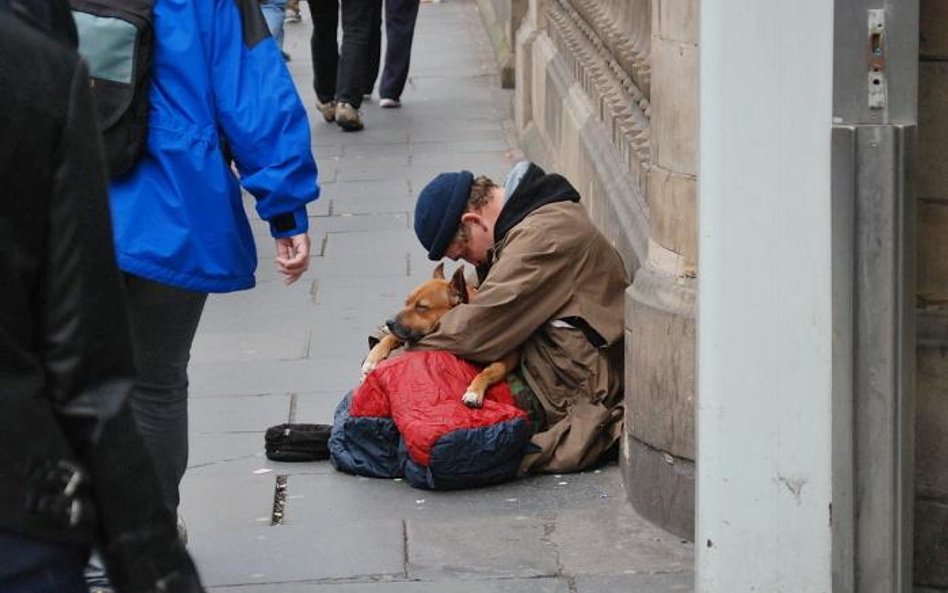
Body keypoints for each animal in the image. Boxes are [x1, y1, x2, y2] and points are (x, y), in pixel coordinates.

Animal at [360, 264, 520, 408]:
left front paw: (474, 392)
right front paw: (372, 359)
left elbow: (487, 372)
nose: (389, 321)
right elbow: (390, 338)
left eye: (422, 307)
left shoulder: (507, 361)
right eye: (406, 302)